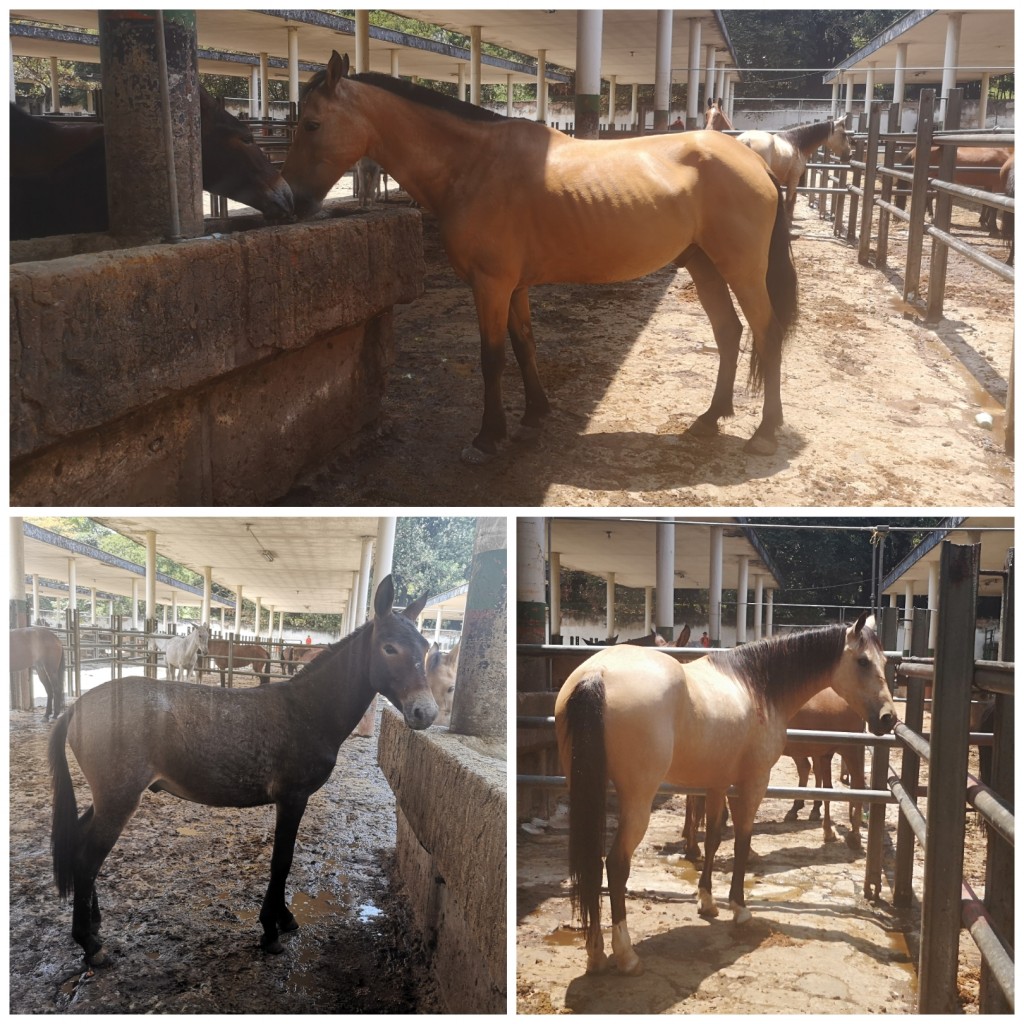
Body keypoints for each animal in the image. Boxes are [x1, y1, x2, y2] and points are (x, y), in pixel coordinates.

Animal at [48, 575, 437, 966]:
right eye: (389, 648)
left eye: (426, 647)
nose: (426, 712)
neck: (307, 710)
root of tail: (77, 706)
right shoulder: (292, 798)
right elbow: (282, 861)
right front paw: (271, 930)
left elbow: (284, 860)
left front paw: (284, 918)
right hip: (119, 799)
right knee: (87, 860)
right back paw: (90, 944)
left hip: (109, 798)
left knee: (80, 844)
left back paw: (94, 925)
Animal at [282, 51, 799, 462]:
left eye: (311, 124)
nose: (290, 201)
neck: (474, 165)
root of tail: (756, 161)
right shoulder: (514, 286)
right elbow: (524, 343)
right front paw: (534, 415)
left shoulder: (490, 284)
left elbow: (492, 357)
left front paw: (488, 437)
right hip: (703, 263)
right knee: (729, 333)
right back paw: (710, 419)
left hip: (741, 269)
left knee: (766, 332)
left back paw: (764, 432)